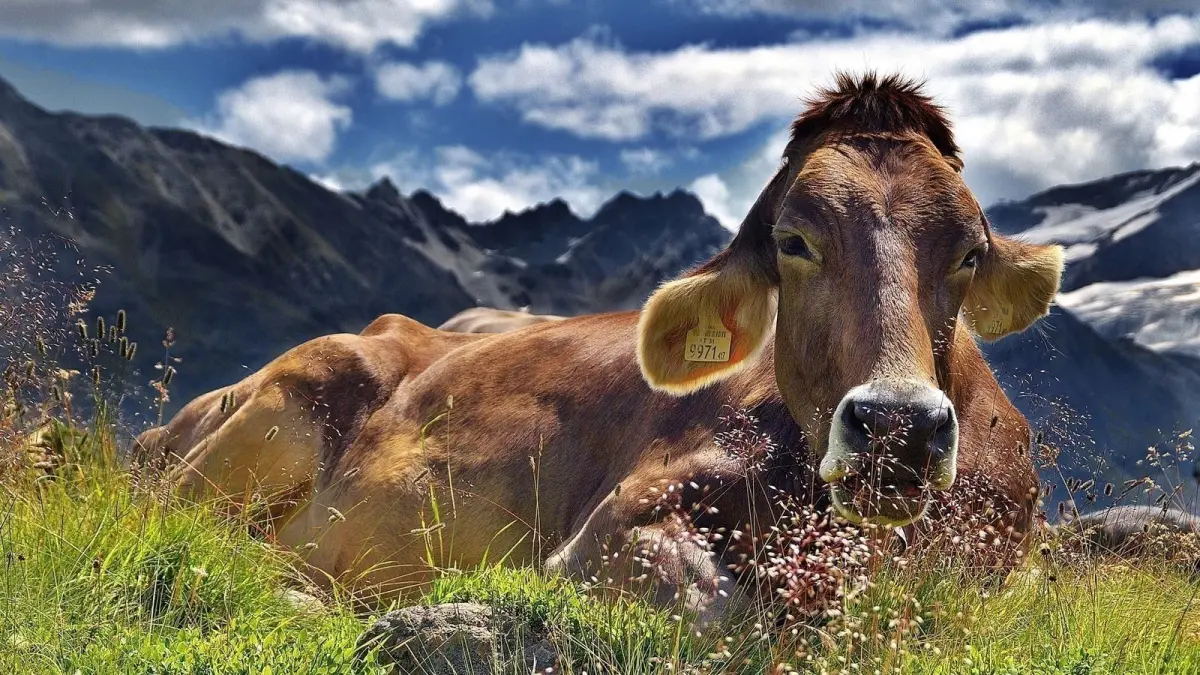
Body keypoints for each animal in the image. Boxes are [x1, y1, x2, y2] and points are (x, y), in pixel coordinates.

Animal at [135, 73, 1064, 622]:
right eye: (795, 240)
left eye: (969, 251)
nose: (898, 426)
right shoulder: (610, 529)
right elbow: (718, 610)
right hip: (287, 399)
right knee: (190, 527)